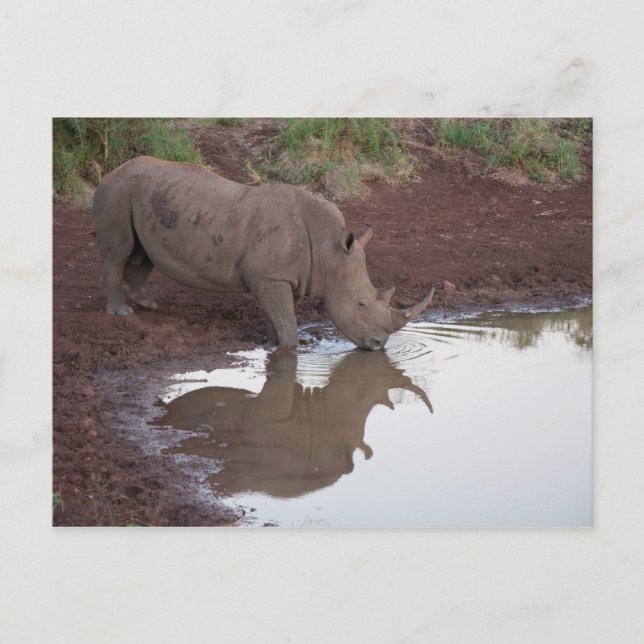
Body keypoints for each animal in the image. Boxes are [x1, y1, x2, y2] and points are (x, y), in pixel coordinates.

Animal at [92, 156, 434, 349]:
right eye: (361, 303)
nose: (379, 345)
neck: (328, 250)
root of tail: (112, 171)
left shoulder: (283, 277)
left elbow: (279, 316)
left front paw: (271, 342)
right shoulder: (272, 277)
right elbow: (286, 319)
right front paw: (289, 349)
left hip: (146, 196)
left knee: (143, 253)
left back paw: (148, 305)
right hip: (116, 191)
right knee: (119, 252)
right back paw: (123, 312)